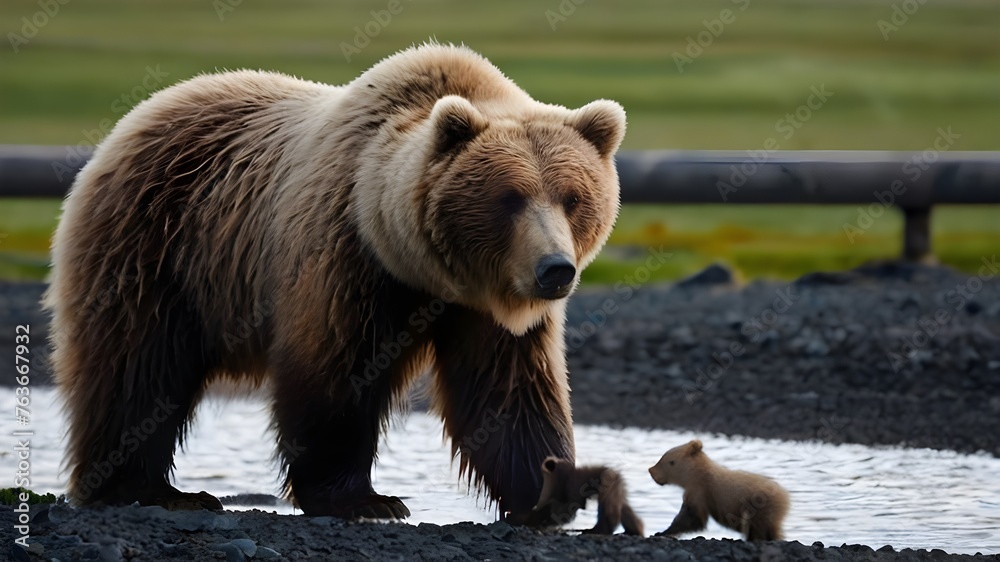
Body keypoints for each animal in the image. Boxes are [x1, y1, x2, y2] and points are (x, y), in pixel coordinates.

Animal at [44, 43, 626, 522]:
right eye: (510, 197)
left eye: (573, 197)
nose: (555, 268)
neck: (420, 268)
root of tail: (139, 114)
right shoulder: (347, 258)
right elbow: (336, 372)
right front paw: (365, 499)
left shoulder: (485, 309)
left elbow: (510, 390)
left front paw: (549, 491)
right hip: (158, 244)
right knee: (137, 366)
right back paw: (146, 488)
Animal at [648, 440, 789, 540]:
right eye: (663, 456)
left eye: (671, 462)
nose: (651, 471)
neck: (697, 475)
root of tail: (786, 496)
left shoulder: (700, 492)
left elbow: (691, 518)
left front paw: (662, 532)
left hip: (760, 507)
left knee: (761, 527)